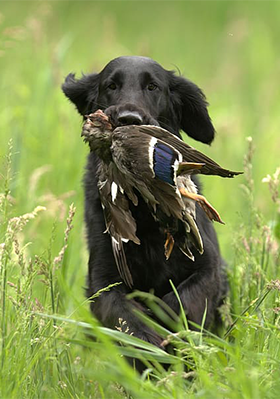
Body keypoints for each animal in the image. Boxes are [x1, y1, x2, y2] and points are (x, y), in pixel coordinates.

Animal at [61, 55, 228, 346]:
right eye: (111, 85)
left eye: (153, 87)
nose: (128, 119)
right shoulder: (103, 280)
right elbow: (126, 317)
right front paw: (147, 342)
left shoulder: (208, 268)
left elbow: (179, 302)